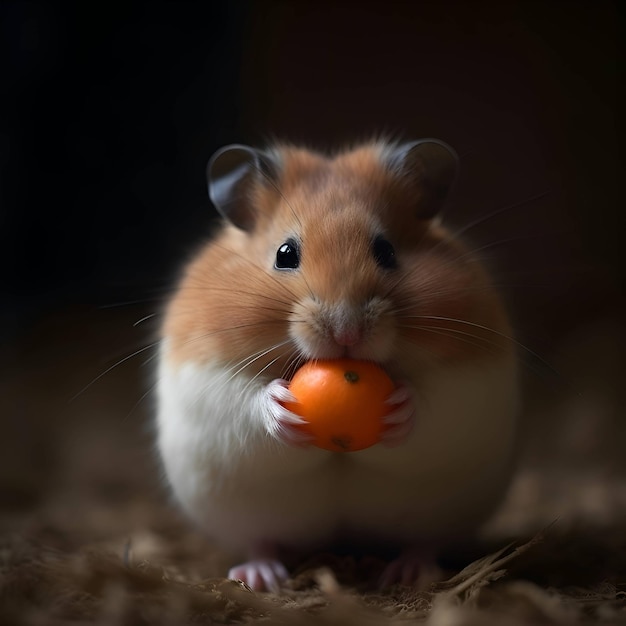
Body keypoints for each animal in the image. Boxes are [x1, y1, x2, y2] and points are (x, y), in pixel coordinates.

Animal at [156, 140, 516, 588]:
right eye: (285, 254)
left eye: (386, 251)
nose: (347, 332)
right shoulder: (204, 379)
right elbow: (244, 401)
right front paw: (281, 407)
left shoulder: (469, 384)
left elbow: (432, 406)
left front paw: (399, 408)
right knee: (260, 541)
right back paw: (261, 576)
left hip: (444, 512)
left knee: (425, 542)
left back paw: (410, 572)